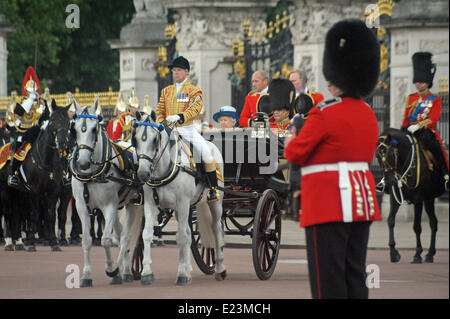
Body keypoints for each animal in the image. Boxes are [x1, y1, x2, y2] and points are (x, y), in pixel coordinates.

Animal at [0, 101, 71, 251]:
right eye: (53, 120)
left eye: (68, 121)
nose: (62, 142)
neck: (46, 160)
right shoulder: (34, 191)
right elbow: (34, 215)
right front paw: (32, 242)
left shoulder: (53, 191)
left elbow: (51, 216)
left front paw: (54, 242)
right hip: (5, 189)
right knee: (8, 212)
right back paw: (9, 242)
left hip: (18, 192)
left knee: (16, 213)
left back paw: (18, 242)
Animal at [70, 99, 142, 288]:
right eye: (75, 129)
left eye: (94, 129)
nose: (83, 163)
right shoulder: (82, 206)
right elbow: (87, 240)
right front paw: (86, 275)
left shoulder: (108, 206)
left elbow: (105, 240)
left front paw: (112, 269)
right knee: (120, 234)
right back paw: (126, 270)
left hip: (132, 205)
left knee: (125, 237)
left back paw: (123, 269)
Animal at [133, 111, 225, 286]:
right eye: (134, 139)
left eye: (155, 140)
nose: (142, 174)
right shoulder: (151, 204)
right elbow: (147, 234)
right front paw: (147, 273)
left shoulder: (182, 203)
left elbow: (181, 236)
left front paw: (181, 274)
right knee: (189, 234)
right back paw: (188, 270)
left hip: (215, 203)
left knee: (216, 230)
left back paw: (220, 269)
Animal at [376, 127, 446, 264]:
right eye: (377, 156)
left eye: (390, 154)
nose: (389, 182)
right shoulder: (395, 197)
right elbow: (390, 221)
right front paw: (393, 253)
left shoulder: (418, 199)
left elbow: (416, 226)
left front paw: (417, 254)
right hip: (429, 199)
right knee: (433, 222)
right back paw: (430, 253)